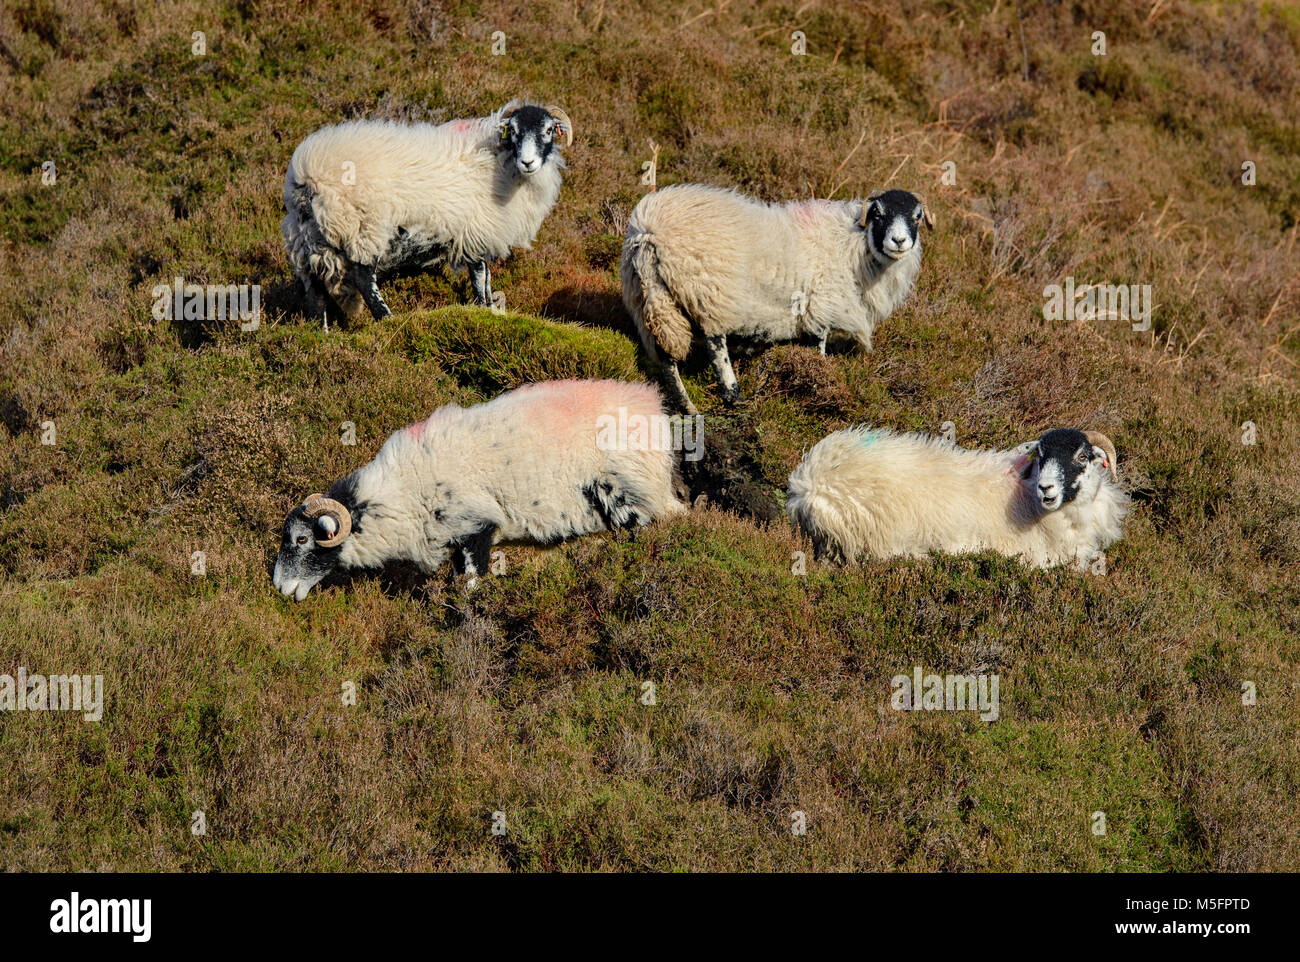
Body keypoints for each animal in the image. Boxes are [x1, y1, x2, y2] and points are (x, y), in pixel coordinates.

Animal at [270, 377, 686, 598]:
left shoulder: (474, 526)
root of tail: (649, 403)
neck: (400, 496)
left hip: (628, 493)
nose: (278, 587)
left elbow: (470, 585)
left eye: (302, 540)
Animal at [282, 100, 572, 325]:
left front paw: (491, 307)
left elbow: (488, 279)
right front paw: (483, 310)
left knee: (315, 288)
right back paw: (387, 319)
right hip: (364, 228)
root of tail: (307, 177)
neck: (500, 162)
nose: (528, 162)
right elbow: (480, 277)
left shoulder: (480, 233)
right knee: (363, 278)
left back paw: (323, 333)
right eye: (513, 131)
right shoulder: (475, 231)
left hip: (308, 237)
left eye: (548, 130)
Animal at [621, 184, 935, 413]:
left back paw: (686, 406)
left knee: (665, 356)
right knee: (715, 346)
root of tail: (649, 234)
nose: (899, 241)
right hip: (709, 294)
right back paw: (734, 397)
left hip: (652, 300)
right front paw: (819, 383)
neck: (854, 245)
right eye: (878, 215)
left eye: (917, 216)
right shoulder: (820, 308)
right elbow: (818, 348)